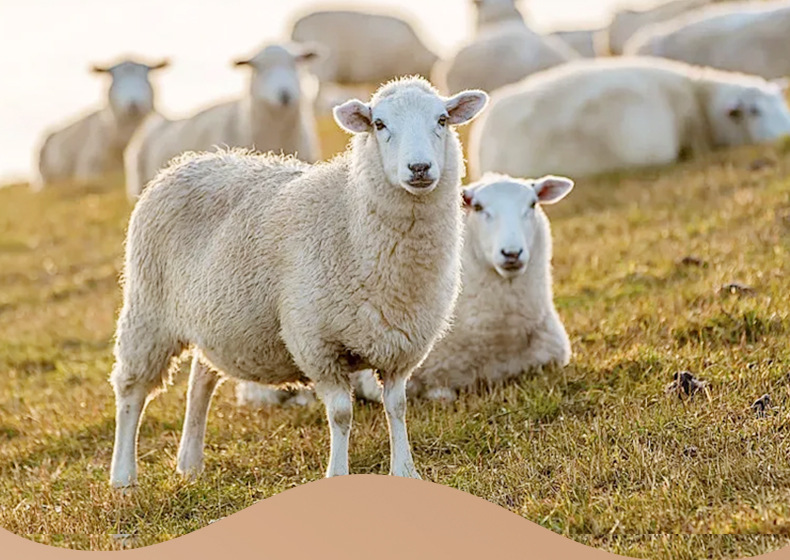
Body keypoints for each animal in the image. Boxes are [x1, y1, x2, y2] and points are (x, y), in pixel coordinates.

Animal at [108, 76, 488, 488]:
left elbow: (397, 407)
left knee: (200, 383)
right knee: (131, 391)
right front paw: (337, 474)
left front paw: (405, 472)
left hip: (213, 321)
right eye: (380, 124)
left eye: (442, 120)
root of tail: (186, 162)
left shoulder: (402, 347)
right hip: (148, 311)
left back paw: (190, 462)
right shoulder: (316, 342)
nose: (419, 168)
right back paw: (123, 477)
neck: (349, 215)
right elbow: (341, 414)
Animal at [238, 173, 574, 406]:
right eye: (478, 207)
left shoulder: (550, 361)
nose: (512, 253)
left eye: (532, 204)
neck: (498, 339)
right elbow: (440, 394)